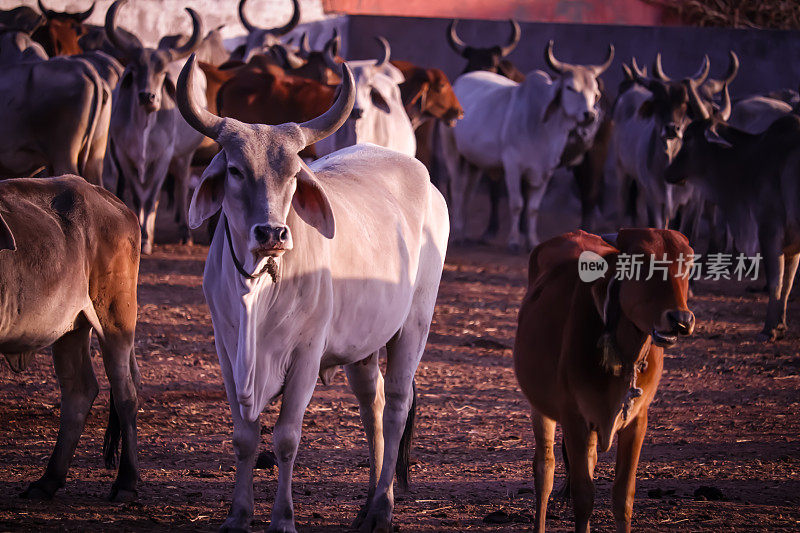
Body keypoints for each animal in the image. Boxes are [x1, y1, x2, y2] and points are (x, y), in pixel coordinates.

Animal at [0, 175, 141, 498]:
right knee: (80, 390)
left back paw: (126, 482)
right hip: (71, 328)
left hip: (115, 317)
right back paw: (49, 480)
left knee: (125, 393)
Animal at [177, 55, 450, 532]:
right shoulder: (227, 352)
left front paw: (283, 518)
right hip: (363, 345)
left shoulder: (305, 355)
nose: (271, 233)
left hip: (415, 324)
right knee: (373, 405)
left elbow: (286, 438)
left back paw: (383, 509)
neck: (257, 291)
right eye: (235, 170)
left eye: (293, 174)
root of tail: (422, 177)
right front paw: (238, 515)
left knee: (397, 407)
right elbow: (245, 438)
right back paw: (368, 504)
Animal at [440, 41, 608, 249]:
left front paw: (532, 240)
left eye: (595, 92)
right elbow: (517, 204)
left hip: (474, 161)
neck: (543, 128)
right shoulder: (513, 165)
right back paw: (457, 233)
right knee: (457, 187)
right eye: (570, 87)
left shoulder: (546, 170)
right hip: (452, 149)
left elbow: (533, 208)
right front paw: (513, 241)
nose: (590, 115)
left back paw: (464, 232)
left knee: (468, 191)